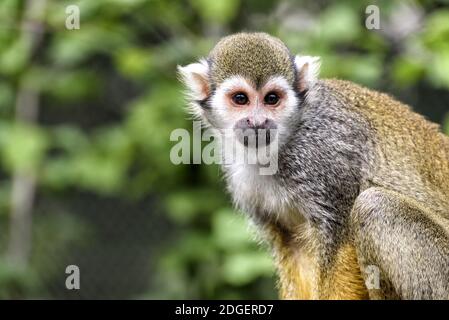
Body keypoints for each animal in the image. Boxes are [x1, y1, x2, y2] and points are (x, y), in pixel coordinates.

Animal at [178, 33, 448, 300]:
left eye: (272, 99)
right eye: (240, 99)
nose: (258, 122)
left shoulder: (322, 155)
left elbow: (340, 241)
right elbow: (295, 250)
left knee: (376, 206)